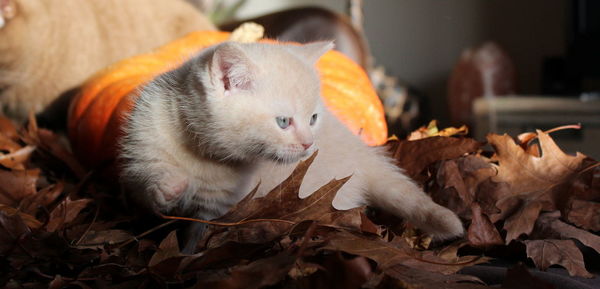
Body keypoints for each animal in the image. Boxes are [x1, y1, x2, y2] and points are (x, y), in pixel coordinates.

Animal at [118, 41, 464, 249]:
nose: (309, 143)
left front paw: (188, 257)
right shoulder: (142, 146)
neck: (203, 152)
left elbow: (197, 237)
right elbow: (147, 185)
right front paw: (169, 188)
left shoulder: (217, 207)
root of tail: (366, 157)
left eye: (312, 118)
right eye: (284, 122)